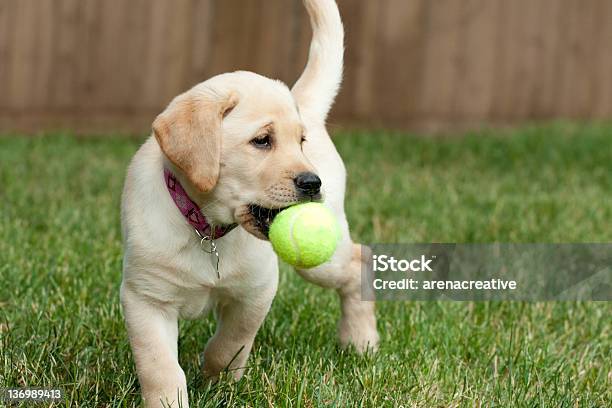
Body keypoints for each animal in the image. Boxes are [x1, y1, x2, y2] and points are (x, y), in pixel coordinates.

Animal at [119, 1, 378, 406]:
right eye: (262, 140)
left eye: (300, 141)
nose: (312, 182)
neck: (207, 228)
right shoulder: (145, 298)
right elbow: (159, 367)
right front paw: (170, 399)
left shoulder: (256, 291)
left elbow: (230, 344)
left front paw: (217, 380)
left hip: (322, 260)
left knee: (358, 260)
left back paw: (360, 341)